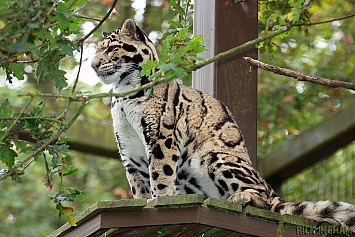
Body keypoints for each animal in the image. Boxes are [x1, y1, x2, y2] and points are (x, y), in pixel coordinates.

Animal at [91, 19, 355, 230]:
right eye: (97, 51)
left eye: (112, 48)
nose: (93, 65)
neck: (123, 93)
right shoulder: (128, 149)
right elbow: (138, 184)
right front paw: (142, 202)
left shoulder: (161, 136)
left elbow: (160, 173)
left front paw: (159, 200)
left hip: (216, 156)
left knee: (267, 200)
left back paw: (240, 198)